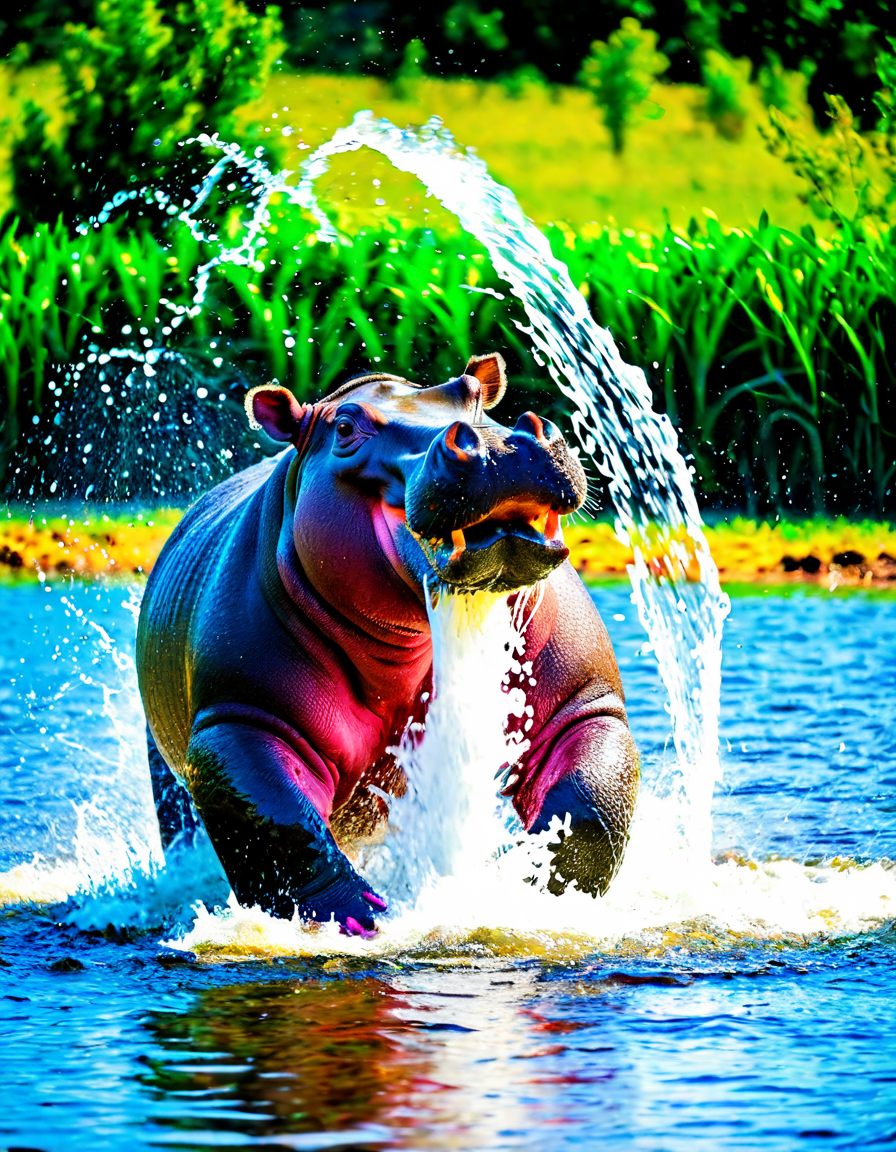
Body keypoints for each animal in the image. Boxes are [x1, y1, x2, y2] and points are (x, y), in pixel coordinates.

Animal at [136, 353, 640, 935]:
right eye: (345, 428)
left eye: (471, 391)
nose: (502, 443)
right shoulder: (239, 720)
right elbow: (282, 829)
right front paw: (362, 920)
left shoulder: (583, 702)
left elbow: (590, 804)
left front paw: (522, 892)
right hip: (167, 765)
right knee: (187, 824)